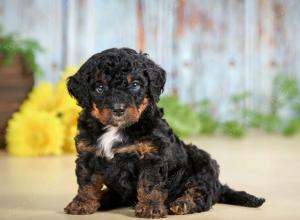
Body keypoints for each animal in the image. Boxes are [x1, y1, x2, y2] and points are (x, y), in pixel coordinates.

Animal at [63, 48, 264, 218]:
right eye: (100, 87)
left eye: (135, 84)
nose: (118, 109)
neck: (116, 128)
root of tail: (219, 185)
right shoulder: (88, 153)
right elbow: (87, 182)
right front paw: (82, 204)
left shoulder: (152, 156)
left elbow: (150, 184)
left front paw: (150, 208)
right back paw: (104, 198)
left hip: (203, 165)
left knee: (202, 195)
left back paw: (183, 203)